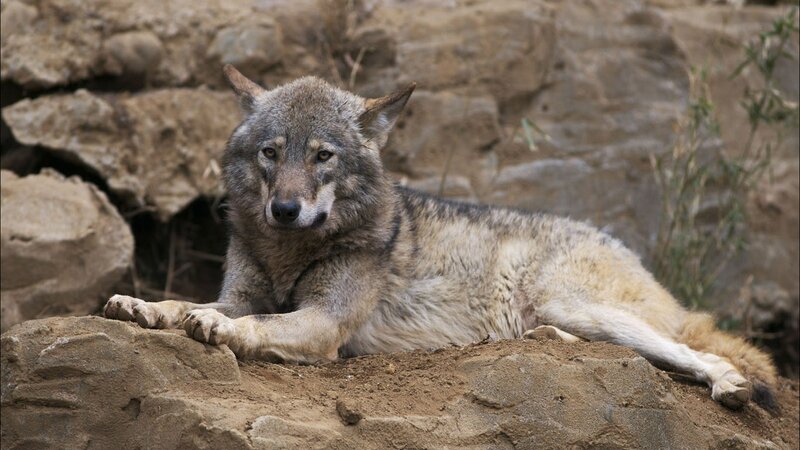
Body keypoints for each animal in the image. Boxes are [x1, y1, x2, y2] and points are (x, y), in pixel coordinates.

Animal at [104, 64, 778, 411]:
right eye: (271, 153)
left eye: (322, 156)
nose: (286, 209)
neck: (289, 251)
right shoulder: (241, 290)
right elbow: (184, 302)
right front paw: (140, 305)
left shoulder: (323, 322)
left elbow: (249, 323)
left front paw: (215, 328)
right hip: (568, 315)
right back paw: (545, 342)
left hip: (575, 302)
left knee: (696, 352)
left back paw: (729, 386)